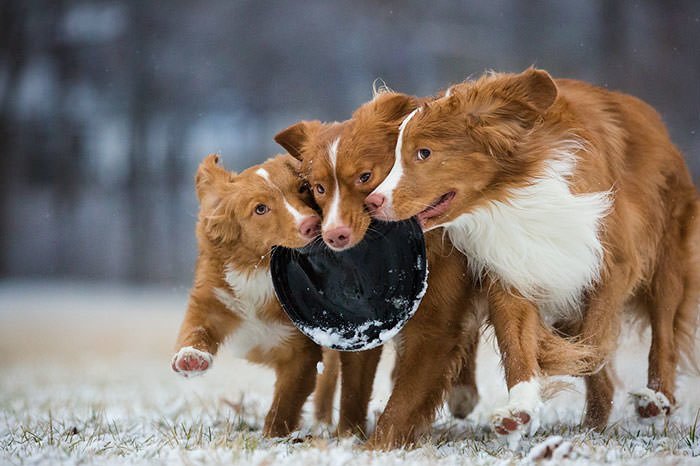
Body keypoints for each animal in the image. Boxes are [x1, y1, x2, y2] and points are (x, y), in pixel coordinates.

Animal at [174, 155, 346, 436]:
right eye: (261, 209)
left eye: (302, 189)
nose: (310, 225)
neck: (261, 271)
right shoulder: (213, 302)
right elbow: (195, 327)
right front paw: (191, 357)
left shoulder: (301, 352)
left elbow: (286, 401)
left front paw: (273, 436)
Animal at [366, 66, 700, 440]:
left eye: (423, 152)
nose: (372, 201)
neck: (508, 195)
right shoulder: (514, 268)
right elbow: (518, 345)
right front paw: (520, 409)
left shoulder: (613, 264)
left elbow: (593, 341)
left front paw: (555, 355)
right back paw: (593, 423)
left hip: (668, 261)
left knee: (664, 333)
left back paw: (657, 397)